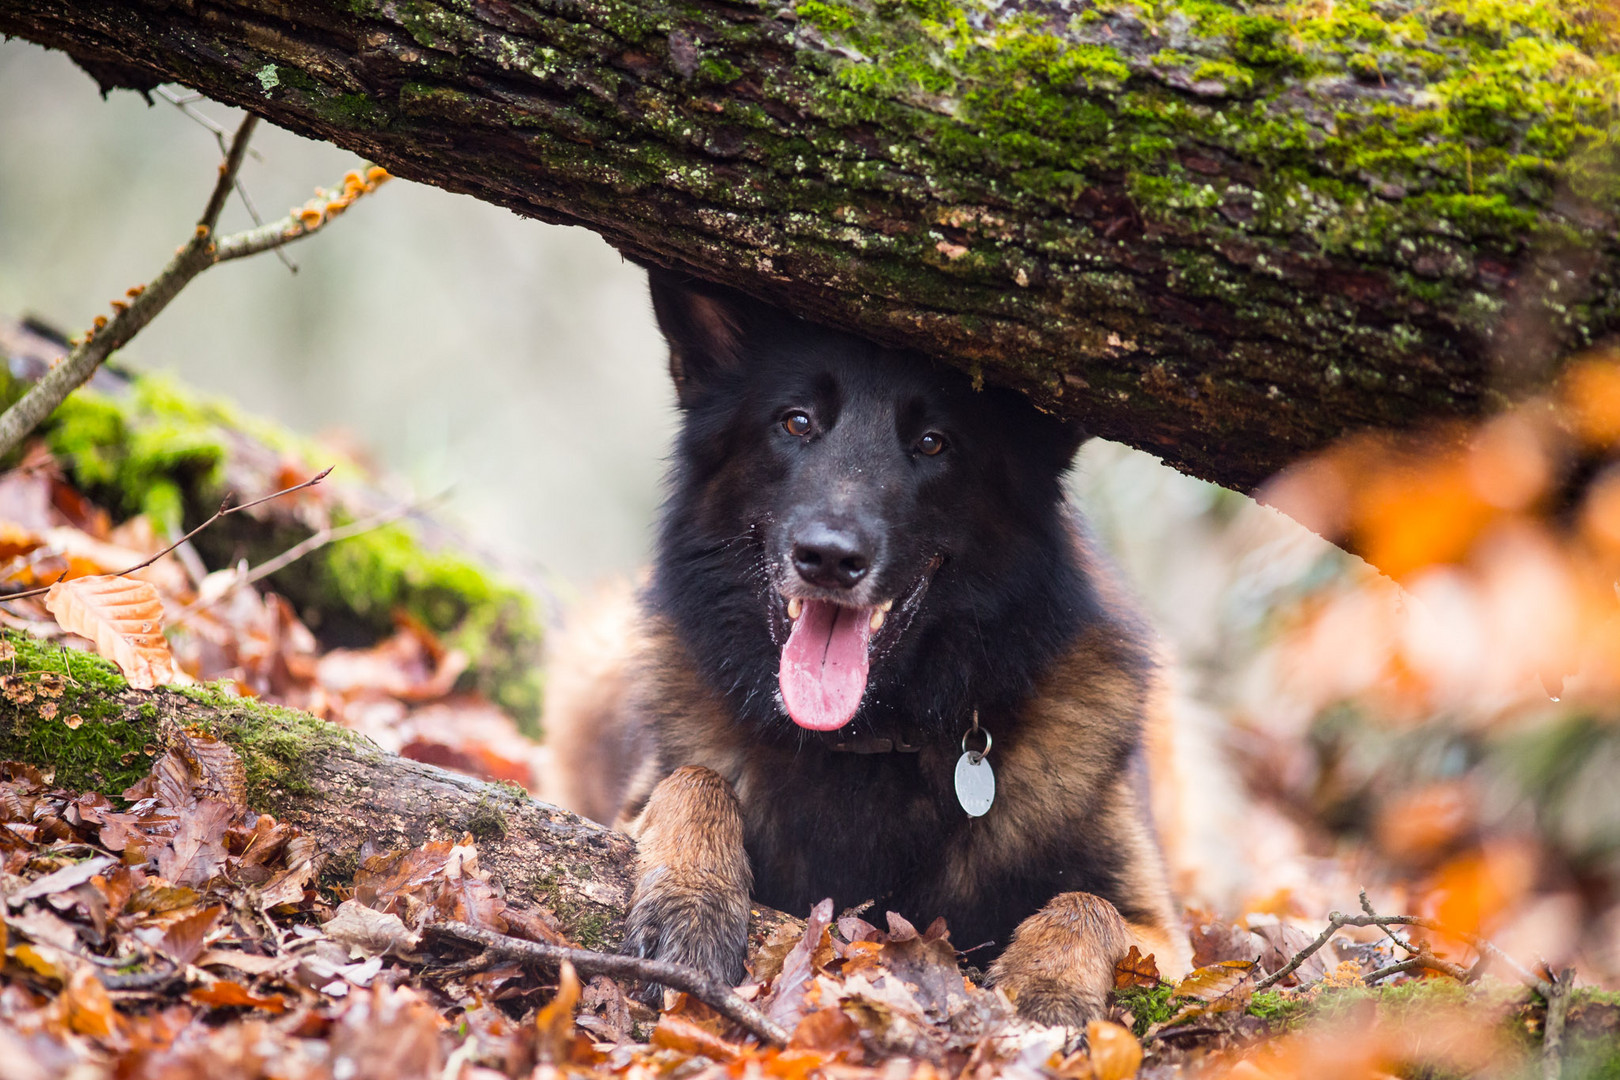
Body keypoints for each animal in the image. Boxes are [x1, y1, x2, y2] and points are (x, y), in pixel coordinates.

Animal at [544, 268, 1192, 1023]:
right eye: (796, 422)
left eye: (935, 443)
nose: (828, 558)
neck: (871, 743)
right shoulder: (635, 801)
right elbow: (695, 779)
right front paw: (690, 900)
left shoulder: (1166, 930)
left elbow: (1089, 904)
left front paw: (1047, 985)